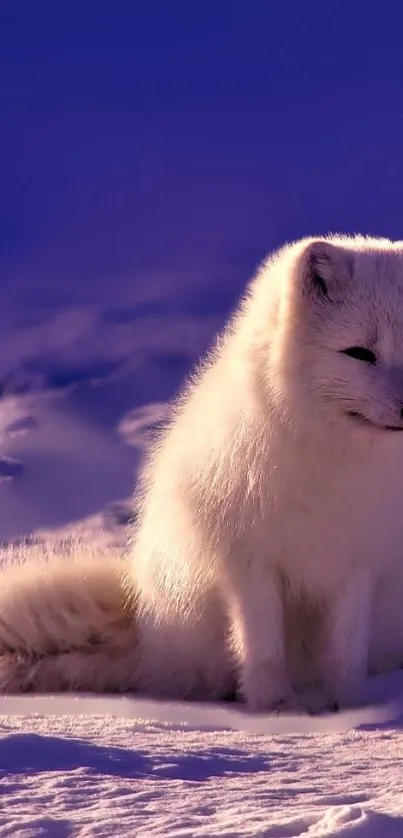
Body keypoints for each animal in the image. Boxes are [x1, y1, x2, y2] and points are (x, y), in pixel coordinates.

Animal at [2, 233, 403, 712]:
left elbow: (346, 650)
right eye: (359, 354)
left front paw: (351, 706)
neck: (334, 462)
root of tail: (145, 629)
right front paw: (276, 709)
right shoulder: (248, 561)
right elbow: (263, 647)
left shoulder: (359, 562)